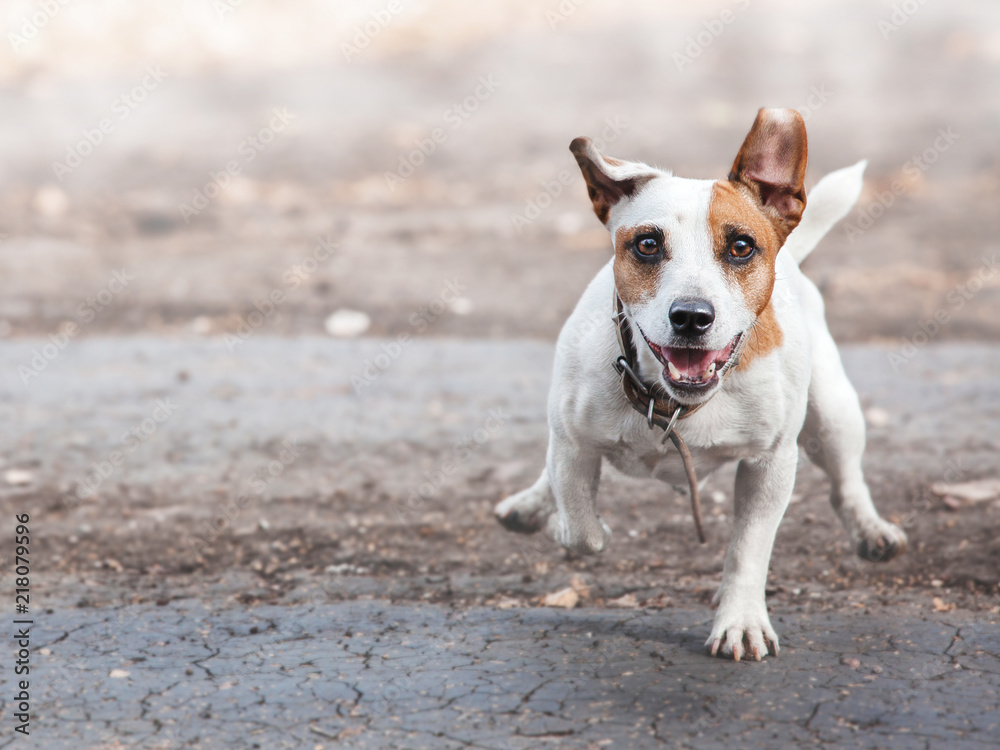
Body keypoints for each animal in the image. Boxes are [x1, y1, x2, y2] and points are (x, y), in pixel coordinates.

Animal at [496, 108, 912, 660]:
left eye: (741, 247)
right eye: (647, 244)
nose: (692, 316)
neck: (671, 402)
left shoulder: (770, 464)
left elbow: (748, 549)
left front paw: (740, 620)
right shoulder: (572, 443)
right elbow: (582, 527)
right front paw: (566, 522)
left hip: (833, 413)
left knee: (847, 482)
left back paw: (871, 531)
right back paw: (532, 505)